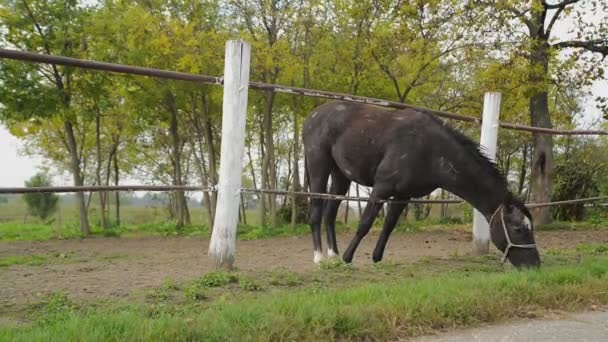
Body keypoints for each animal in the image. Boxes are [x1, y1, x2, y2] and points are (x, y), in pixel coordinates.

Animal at [304, 100, 540, 268]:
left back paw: (333, 255)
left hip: (340, 176)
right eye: (519, 229)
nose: (535, 265)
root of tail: (313, 116)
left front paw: (376, 258)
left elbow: (389, 226)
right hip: (318, 167)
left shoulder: (403, 195)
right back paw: (319, 258)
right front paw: (348, 257)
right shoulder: (382, 188)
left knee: (330, 214)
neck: (430, 149)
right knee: (316, 211)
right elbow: (365, 223)